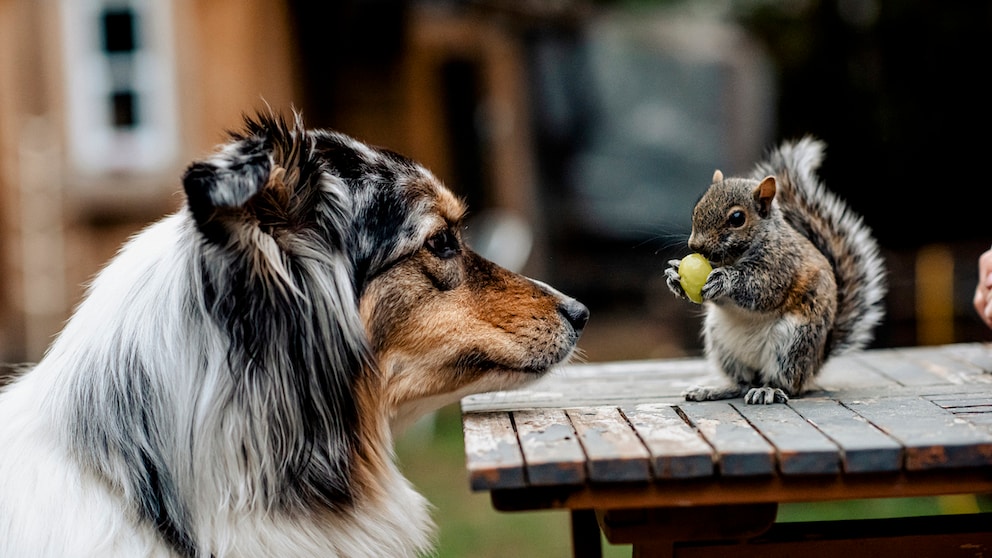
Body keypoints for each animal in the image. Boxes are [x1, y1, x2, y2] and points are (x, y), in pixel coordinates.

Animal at [664, 138, 888, 404]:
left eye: (737, 218)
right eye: (697, 208)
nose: (695, 246)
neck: (734, 256)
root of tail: (817, 361)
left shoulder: (782, 266)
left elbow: (761, 291)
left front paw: (725, 280)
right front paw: (674, 276)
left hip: (793, 343)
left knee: (787, 384)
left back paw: (767, 390)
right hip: (721, 342)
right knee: (742, 383)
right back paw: (714, 390)